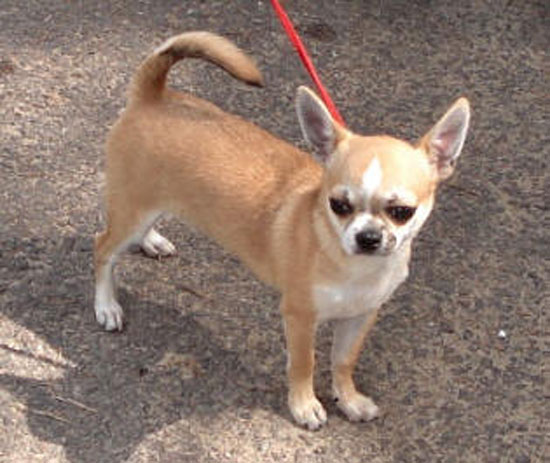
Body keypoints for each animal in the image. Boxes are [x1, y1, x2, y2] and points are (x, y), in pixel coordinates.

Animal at [94, 32, 470, 429]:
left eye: (401, 212)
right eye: (338, 205)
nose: (367, 237)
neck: (350, 264)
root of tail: (153, 94)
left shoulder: (360, 317)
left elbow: (343, 361)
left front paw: (348, 399)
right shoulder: (300, 317)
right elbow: (304, 364)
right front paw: (304, 405)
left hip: (149, 205)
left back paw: (151, 241)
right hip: (130, 212)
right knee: (102, 249)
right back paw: (106, 306)